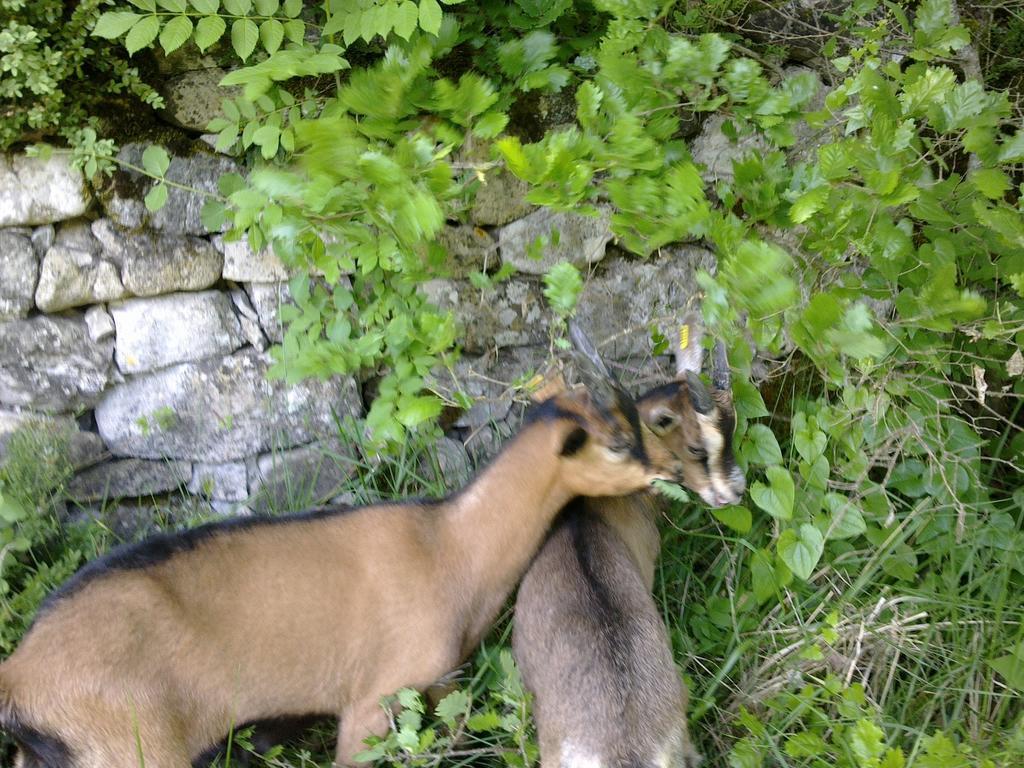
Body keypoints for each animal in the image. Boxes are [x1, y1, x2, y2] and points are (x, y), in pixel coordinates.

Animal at [4, 350, 684, 768]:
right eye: (618, 443)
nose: (672, 472)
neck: (450, 547)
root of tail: (19, 680)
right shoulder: (372, 703)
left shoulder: (439, 683)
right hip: (134, 747)